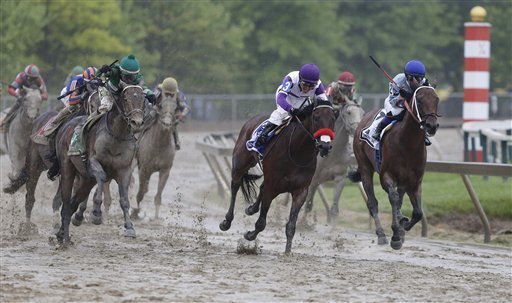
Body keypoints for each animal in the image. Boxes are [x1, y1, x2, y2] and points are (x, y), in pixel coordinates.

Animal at [54, 83, 145, 247]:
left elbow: (124, 200)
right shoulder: (93, 163)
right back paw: (65, 239)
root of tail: (66, 126)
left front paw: (129, 228)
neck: (117, 136)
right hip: (67, 169)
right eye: (126, 99)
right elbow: (102, 177)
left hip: (85, 180)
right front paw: (96, 213)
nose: (137, 122)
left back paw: (63, 233)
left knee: (72, 204)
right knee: (66, 203)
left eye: (143, 99)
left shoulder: (124, 170)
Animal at [219, 98, 336, 254]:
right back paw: (226, 221)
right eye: (316, 118)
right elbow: (261, 222)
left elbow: (291, 225)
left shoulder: (300, 191)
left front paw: (288, 251)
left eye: (333, 119)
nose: (325, 146)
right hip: (240, 164)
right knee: (235, 186)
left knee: (260, 188)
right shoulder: (272, 186)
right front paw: (249, 235)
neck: (297, 152)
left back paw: (251, 209)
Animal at [348, 85, 440, 249]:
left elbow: (418, 212)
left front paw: (402, 226)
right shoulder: (387, 176)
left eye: (437, 99)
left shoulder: (415, 182)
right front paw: (397, 232)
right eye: (419, 100)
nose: (432, 125)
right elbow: (393, 198)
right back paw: (382, 234)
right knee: (373, 203)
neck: (408, 144)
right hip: (365, 168)